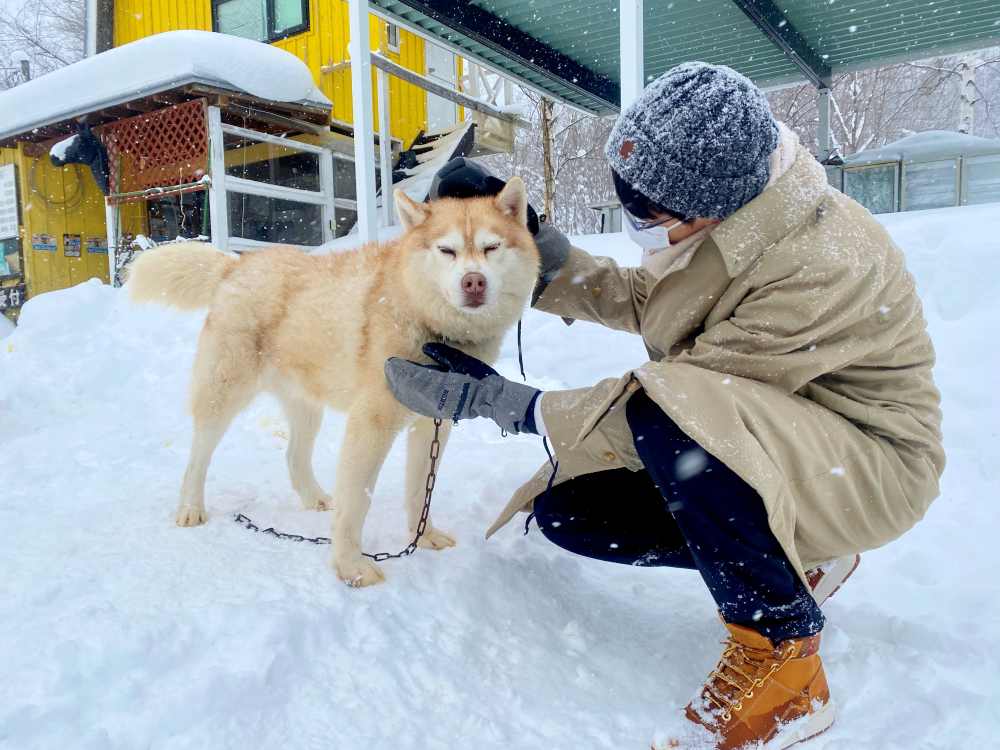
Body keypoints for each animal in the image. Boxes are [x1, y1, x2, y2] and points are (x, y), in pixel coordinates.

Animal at [133, 181, 544, 588]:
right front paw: (350, 567)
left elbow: (419, 490)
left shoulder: (432, 426)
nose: (474, 281)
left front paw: (422, 537)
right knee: (197, 457)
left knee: (293, 456)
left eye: (492, 247)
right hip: (223, 394)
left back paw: (314, 498)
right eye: (447, 250)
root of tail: (237, 264)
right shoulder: (371, 425)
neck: (427, 323)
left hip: (307, 408)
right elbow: (357, 502)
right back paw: (190, 507)